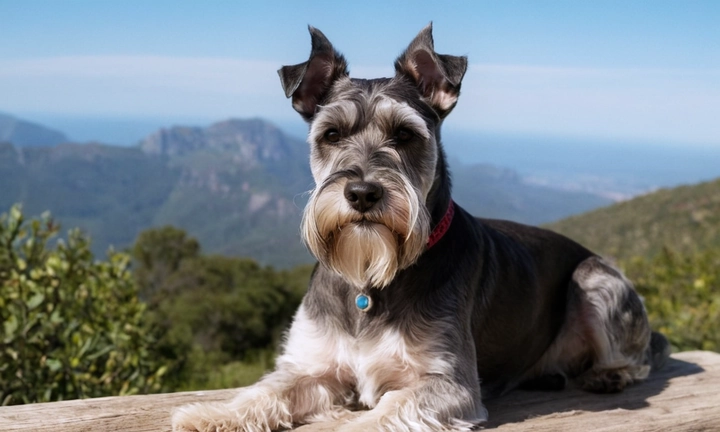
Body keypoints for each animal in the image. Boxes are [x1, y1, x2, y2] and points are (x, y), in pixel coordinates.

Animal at [173, 24, 668, 432]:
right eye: (331, 135)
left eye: (405, 134)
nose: (362, 193)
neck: (372, 281)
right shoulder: (311, 367)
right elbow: (266, 392)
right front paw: (209, 414)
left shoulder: (447, 383)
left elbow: (380, 415)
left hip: (595, 278)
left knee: (642, 354)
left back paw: (610, 373)